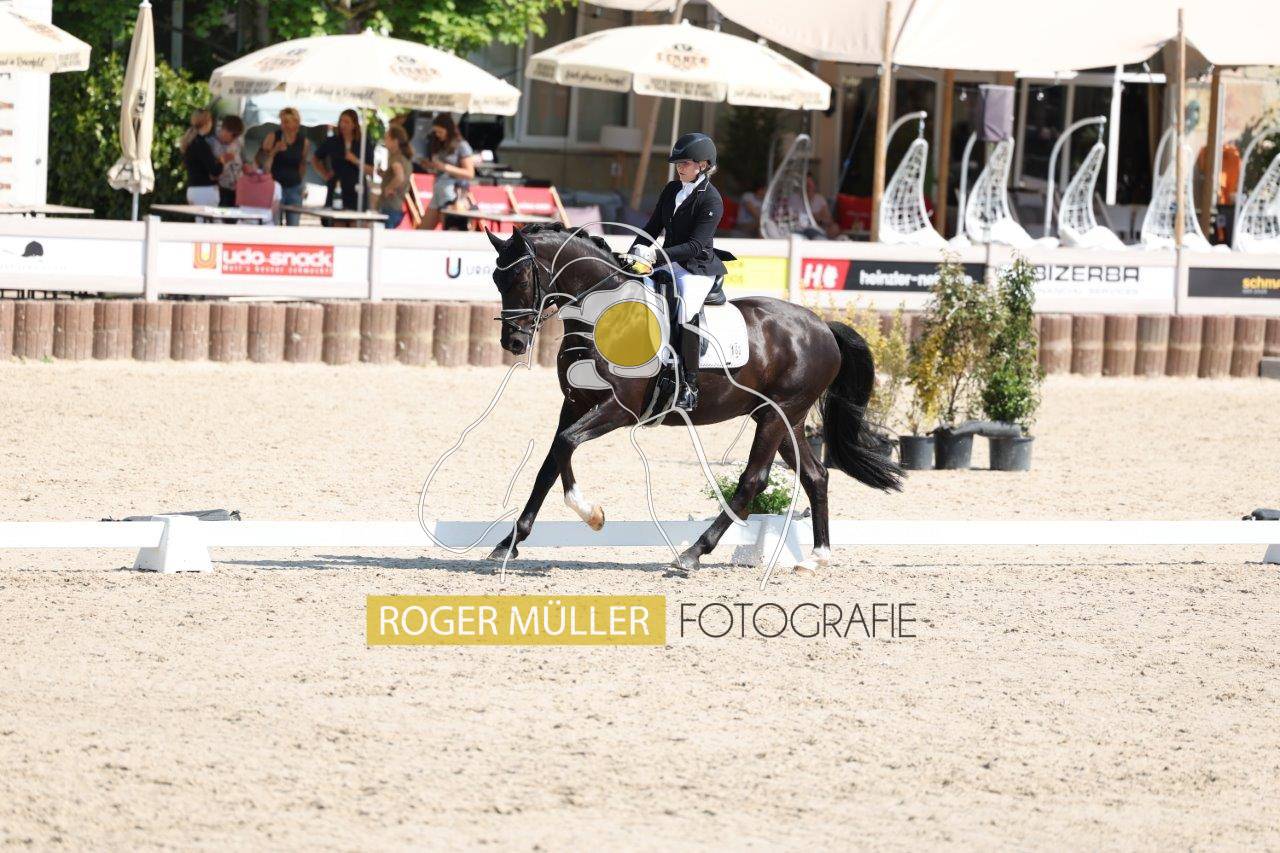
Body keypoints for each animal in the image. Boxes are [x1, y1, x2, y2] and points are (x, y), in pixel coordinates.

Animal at [484, 223, 902, 572]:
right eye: (495, 278)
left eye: (520, 276)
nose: (513, 342)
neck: (603, 315)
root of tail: (822, 326)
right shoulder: (575, 404)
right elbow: (552, 461)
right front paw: (508, 544)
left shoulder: (619, 409)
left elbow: (567, 445)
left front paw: (592, 514)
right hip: (788, 419)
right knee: (816, 475)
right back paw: (816, 558)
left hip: (776, 414)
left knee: (753, 480)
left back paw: (692, 554)